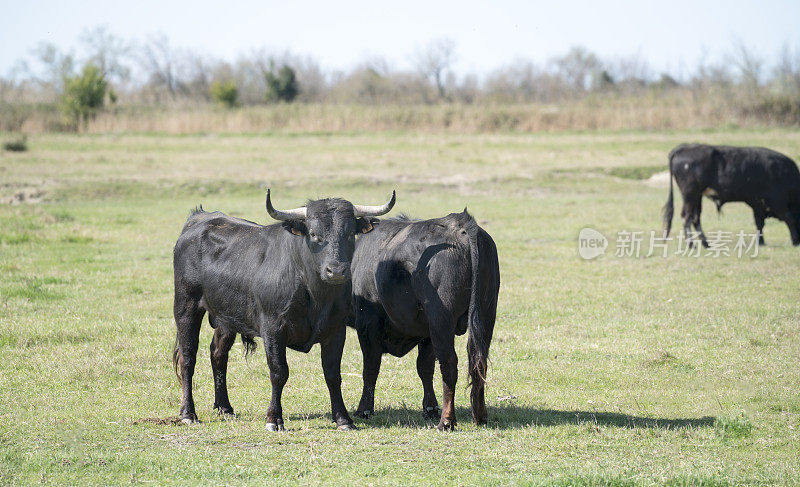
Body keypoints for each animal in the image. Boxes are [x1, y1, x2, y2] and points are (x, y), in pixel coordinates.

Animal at [170, 191, 396, 430]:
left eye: (350, 233)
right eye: (314, 234)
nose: (336, 271)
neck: (314, 293)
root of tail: (199, 218)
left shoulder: (336, 331)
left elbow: (333, 375)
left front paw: (343, 419)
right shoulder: (273, 329)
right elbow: (279, 372)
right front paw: (274, 418)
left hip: (226, 318)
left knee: (218, 354)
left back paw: (224, 407)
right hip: (186, 307)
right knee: (188, 357)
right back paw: (188, 413)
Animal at [350, 212, 500, 432]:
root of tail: (462, 224)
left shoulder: (367, 324)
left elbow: (370, 367)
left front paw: (364, 409)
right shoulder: (426, 334)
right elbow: (425, 368)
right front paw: (430, 408)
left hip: (441, 320)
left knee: (449, 363)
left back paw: (446, 420)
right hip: (486, 315)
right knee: (479, 361)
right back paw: (480, 416)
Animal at [664, 143, 800, 246]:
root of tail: (685, 147)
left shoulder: (756, 204)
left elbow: (759, 223)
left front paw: (760, 242)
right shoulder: (777, 201)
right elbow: (789, 218)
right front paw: (795, 241)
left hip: (696, 196)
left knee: (695, 218)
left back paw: (705, 243)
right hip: (690, 194)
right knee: (686, 217)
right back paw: (691, 244)